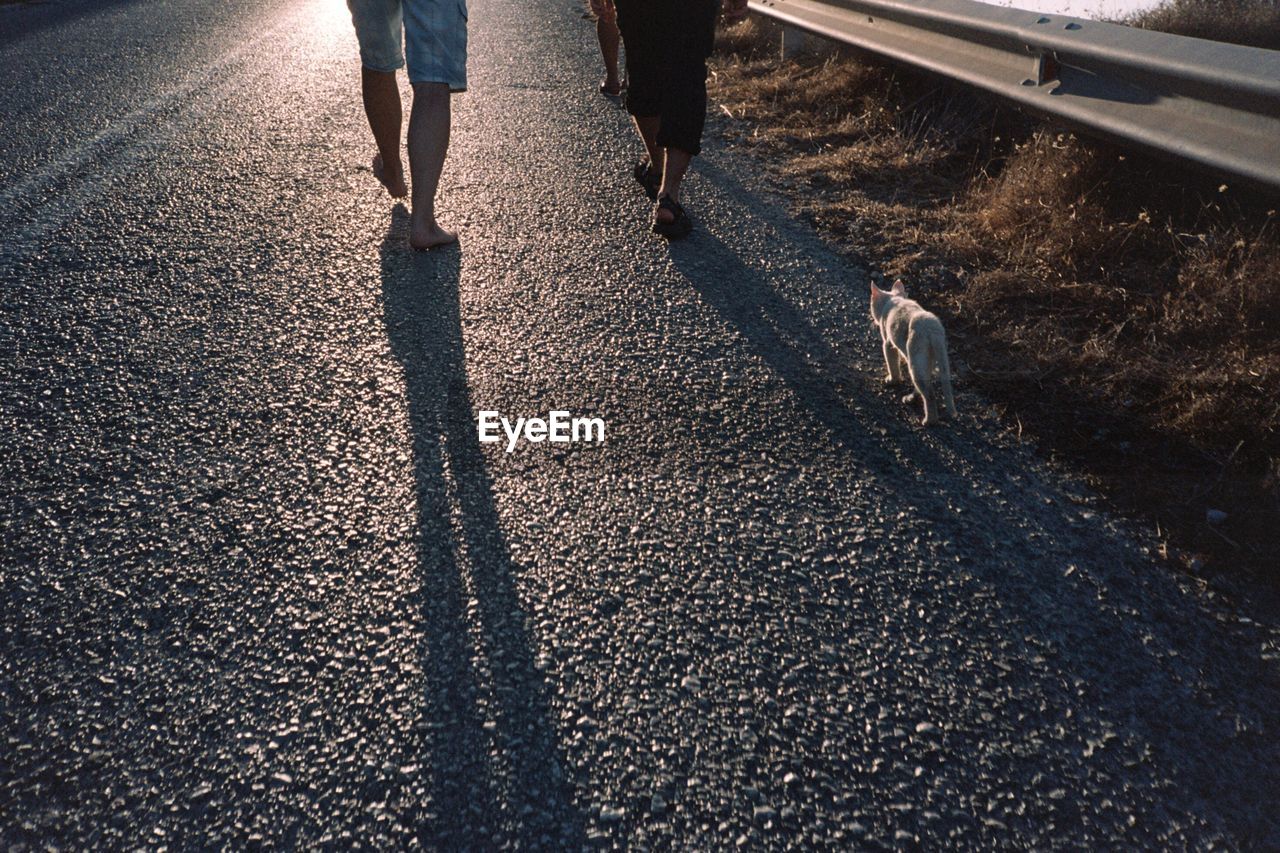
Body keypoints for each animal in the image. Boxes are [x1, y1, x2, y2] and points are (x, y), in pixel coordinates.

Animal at [870, 279, 952, 425]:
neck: (894, 299)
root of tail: (932, 328)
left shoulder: (888, 343)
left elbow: (892, 365)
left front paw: (892, 380)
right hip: (930, 358)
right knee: (925, 384)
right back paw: (910, 399)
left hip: (916, 360)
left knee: (929, 394)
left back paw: (929, 421)